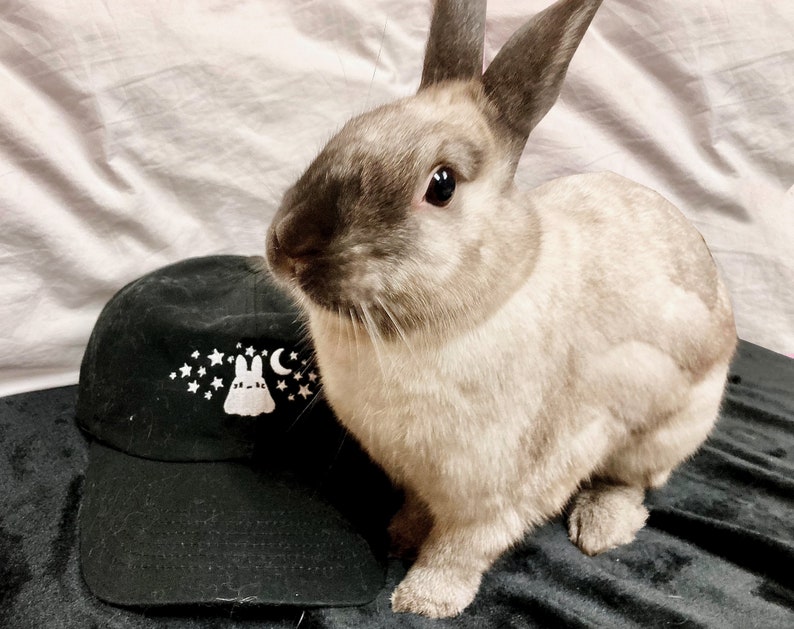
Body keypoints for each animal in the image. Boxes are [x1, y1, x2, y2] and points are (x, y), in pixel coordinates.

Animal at [265, 0, 737, 618]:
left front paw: (423, 601)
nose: (288, 245)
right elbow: (419, 513)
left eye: (441, 185)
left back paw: (601, 528)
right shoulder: (419, 478)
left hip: (664, 428)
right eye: (352, 127)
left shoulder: (503, 492)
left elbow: (461, 548)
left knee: (631, 481)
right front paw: (400, 535)